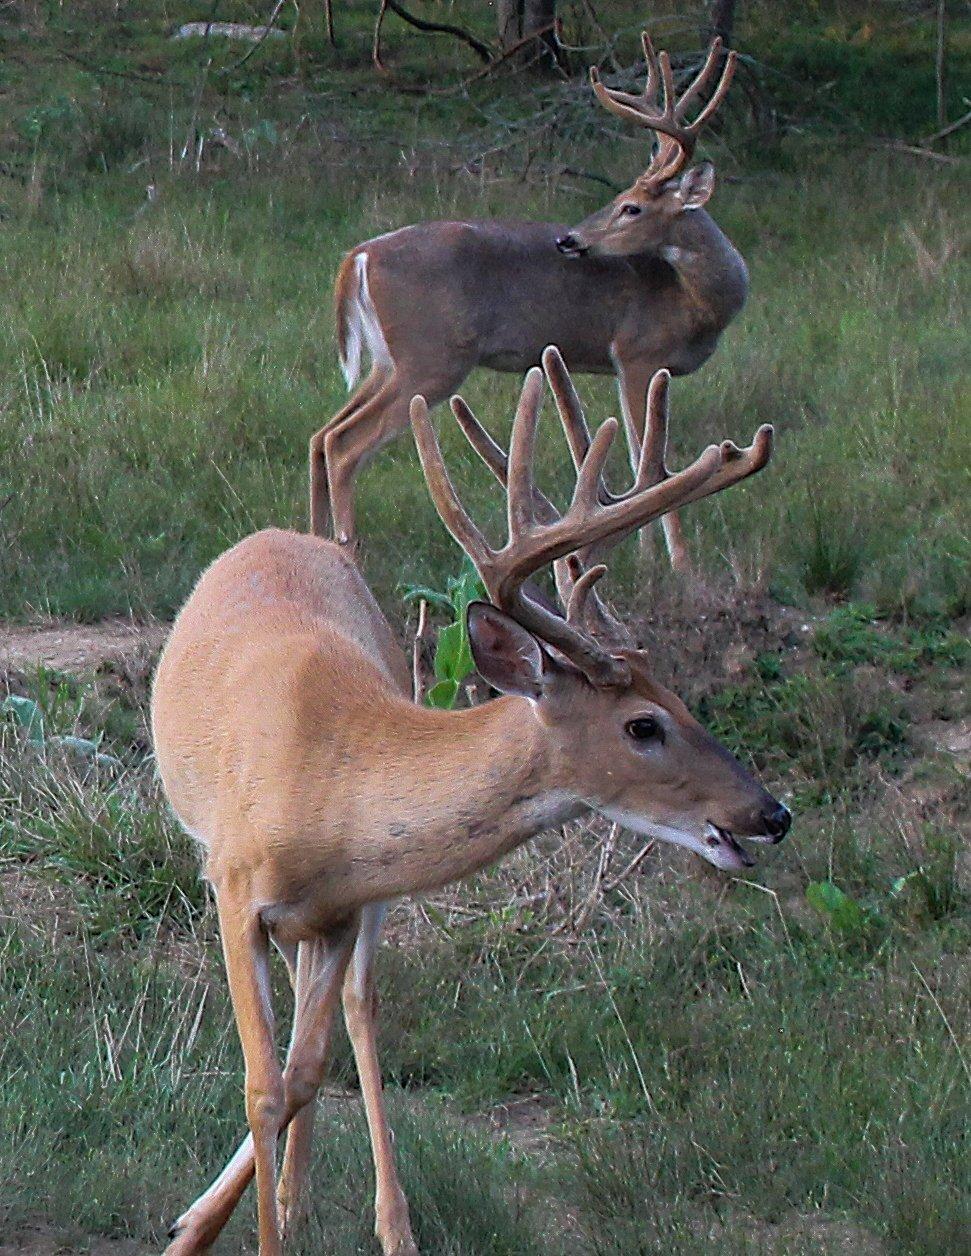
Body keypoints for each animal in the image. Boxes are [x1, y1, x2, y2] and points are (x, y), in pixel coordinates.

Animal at [153, 346, 788, 1256]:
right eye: (643, 724)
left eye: (681, 698)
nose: (769, 814)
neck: (326, 783)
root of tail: (287, 534)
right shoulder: (234, 885)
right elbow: (263, 1085)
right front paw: (209, 1233)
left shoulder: (342, 908)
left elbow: (304, 1071)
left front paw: (230, 1217)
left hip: (355, 913)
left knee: (354, 1015)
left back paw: (348, 1211)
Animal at [310, 29, 743, 570]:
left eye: (631, 206)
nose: (569, 240)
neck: (699, 301)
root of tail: (359, 256)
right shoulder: (637, 352)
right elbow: (650, 463)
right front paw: (677, 565)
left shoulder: (634, 366)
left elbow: (640, 456)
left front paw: (646, 556)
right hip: (431, 357)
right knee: (345, 443)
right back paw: (346, 551)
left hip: (387, 361)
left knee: (322, 435)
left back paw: (310, 539)